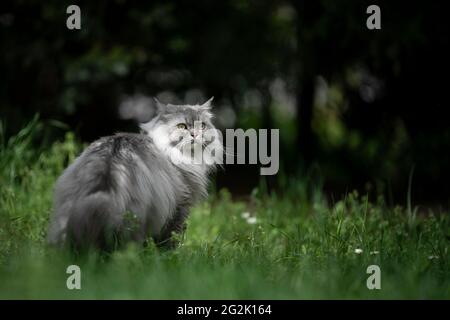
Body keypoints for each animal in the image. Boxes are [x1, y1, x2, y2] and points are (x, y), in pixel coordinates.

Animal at [47, 97, 221, 250]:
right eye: (182, 126)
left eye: (202, 126)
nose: (195, 134)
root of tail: (108, 164)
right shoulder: (180, 207)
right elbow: (171, 238)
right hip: (136, 220)